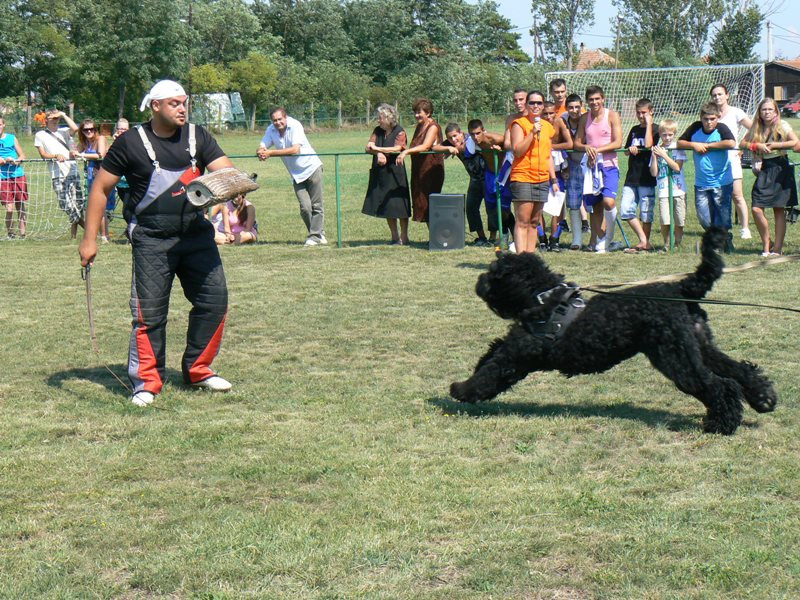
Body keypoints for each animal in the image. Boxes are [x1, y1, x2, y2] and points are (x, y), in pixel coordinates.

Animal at [454, 227, 780, 434]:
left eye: (492, 273)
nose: (479, 282)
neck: (542, 295)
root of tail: (682, 288)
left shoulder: (518, 354)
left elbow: (491, 372)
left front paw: (461, 390)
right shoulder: (513, 345)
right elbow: (490, 354)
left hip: (676, 357)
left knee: (718, 385)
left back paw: (720, 425)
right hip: (700, 345)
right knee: (740, 371)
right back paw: (763, 398)